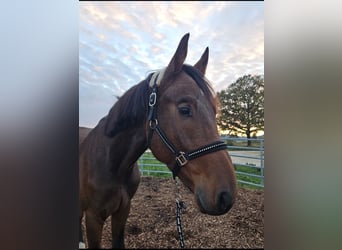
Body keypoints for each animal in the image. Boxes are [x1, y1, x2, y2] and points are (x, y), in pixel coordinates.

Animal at [79, 32, 236, 248]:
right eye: (184, 109)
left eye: (214, 111)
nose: (226, 196)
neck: (112, 162)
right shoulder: (93, 217)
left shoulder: (123, 210)